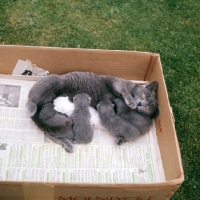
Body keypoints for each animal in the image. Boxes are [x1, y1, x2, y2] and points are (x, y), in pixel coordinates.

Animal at [26, 71, 159, 151]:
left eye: (148, 108)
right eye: (143, 95)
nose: (140, 104)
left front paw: (120, 139)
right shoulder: (115, 81)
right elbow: (123, 89)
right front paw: (131, 101)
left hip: (61, 120)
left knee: (52, 134)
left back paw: (68, 145)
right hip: (53, 81)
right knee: (32, 98)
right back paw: (31, 109)